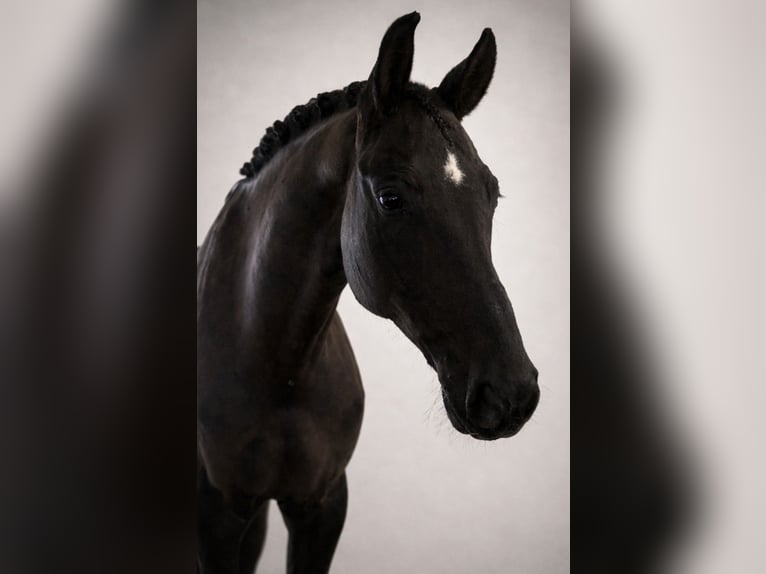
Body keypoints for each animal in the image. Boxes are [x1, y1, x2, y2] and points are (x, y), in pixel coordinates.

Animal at [197, 12, 540, 574]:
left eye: (492, 193)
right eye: (391, 197)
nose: (510, 394)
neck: (277, 369)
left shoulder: (322, 505)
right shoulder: (218, 515)